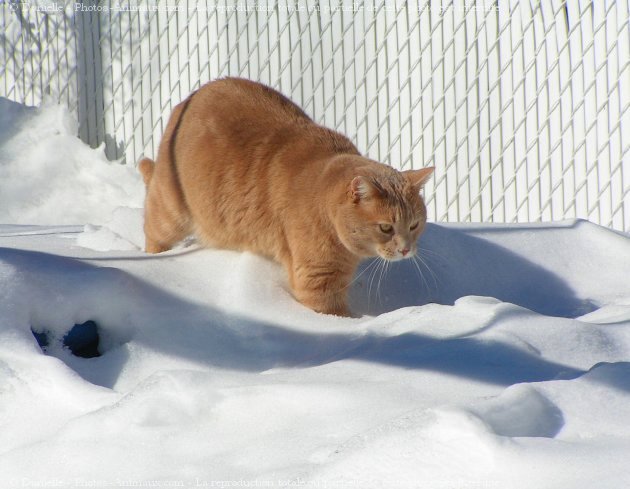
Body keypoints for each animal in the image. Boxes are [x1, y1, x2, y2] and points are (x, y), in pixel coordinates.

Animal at [139, 78, 434, 314]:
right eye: (385, 228)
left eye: (414, 225)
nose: (406, 249)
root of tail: (191, 97)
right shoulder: (318, 282)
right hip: (170, 210)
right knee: (153, 231)